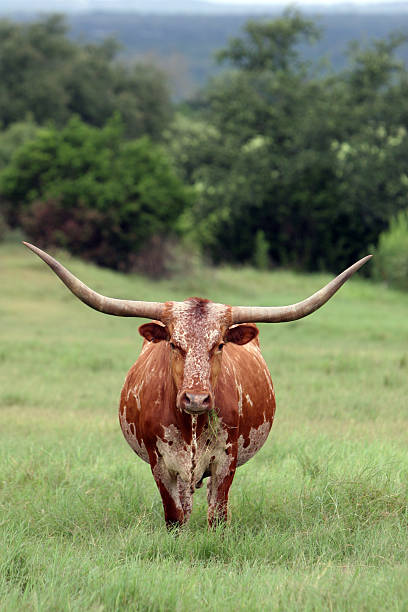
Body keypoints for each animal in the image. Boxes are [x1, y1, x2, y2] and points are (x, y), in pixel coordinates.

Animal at [23, 241, 372, 528]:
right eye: (174, 344)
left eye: (219, 344)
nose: (196, 399)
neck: (191, 424)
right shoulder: (161, 465)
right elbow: (174, 517)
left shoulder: (225, 463)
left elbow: (217, 516)